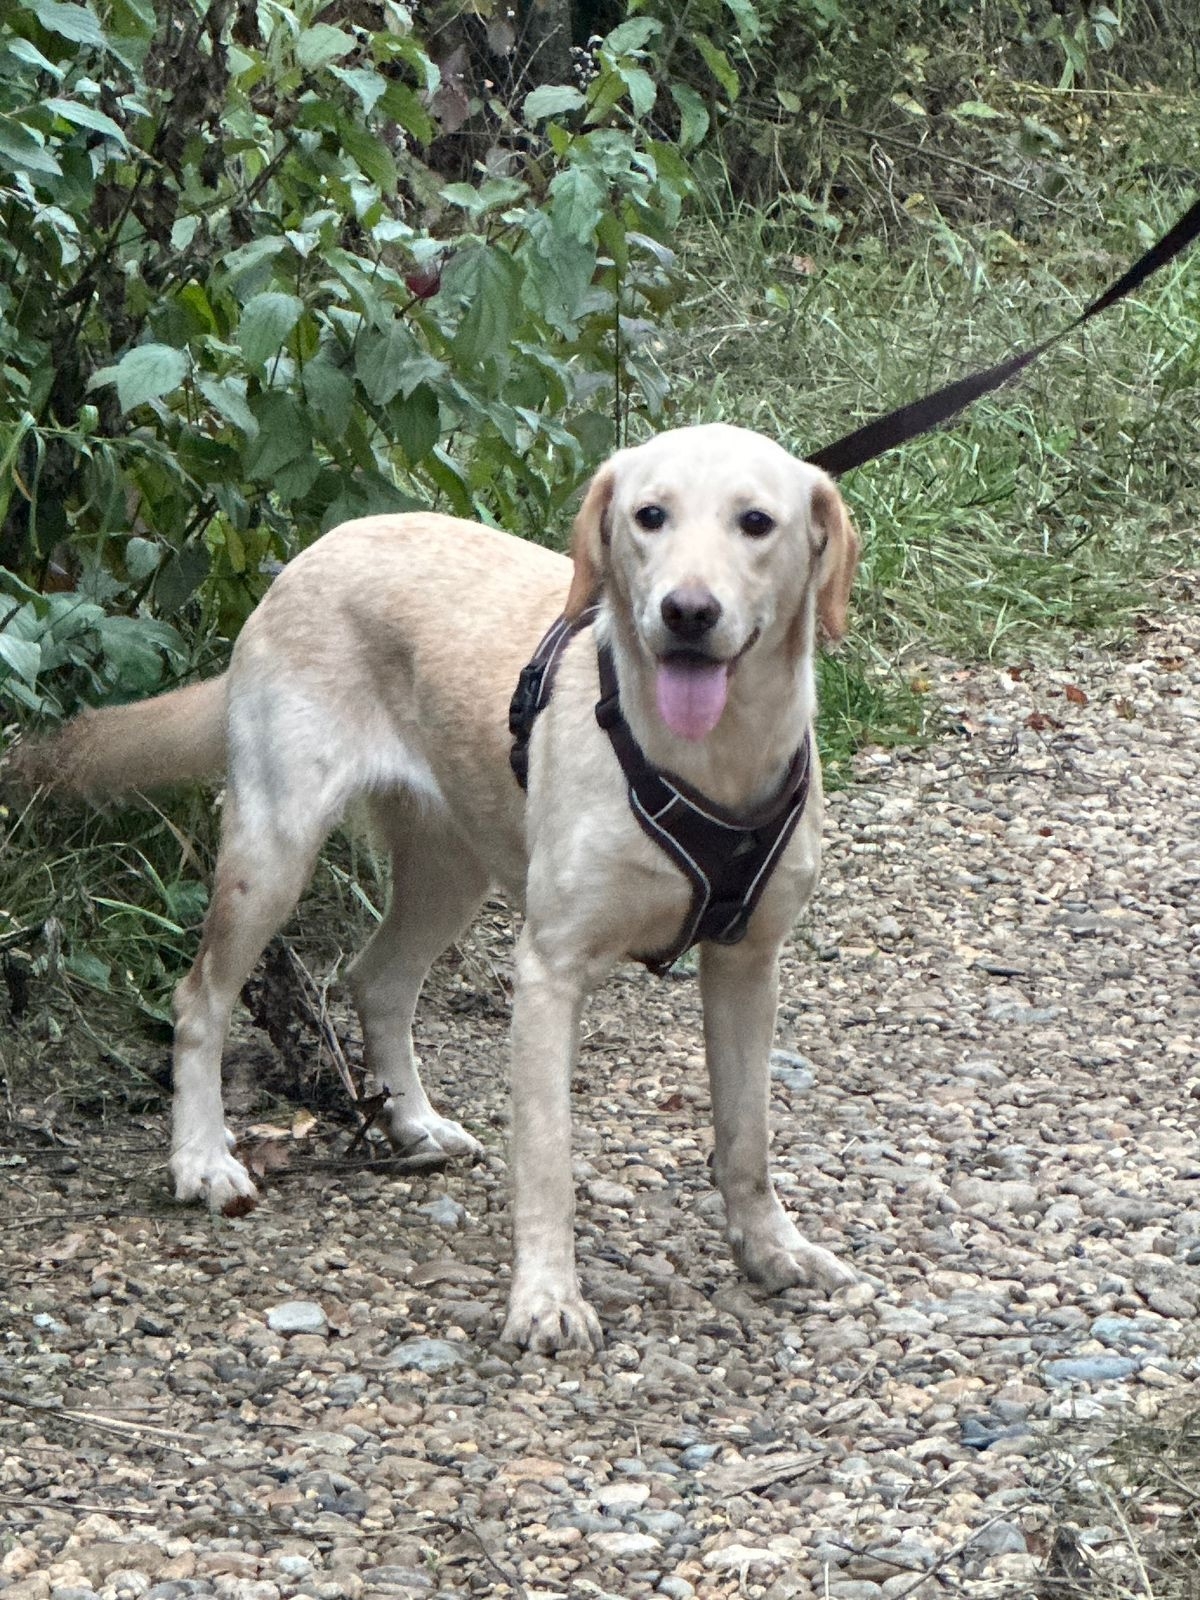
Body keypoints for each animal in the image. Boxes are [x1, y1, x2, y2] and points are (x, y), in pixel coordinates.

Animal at [14, 423, 859, 1351]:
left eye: (757, 522)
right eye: (650, 516)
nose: (687, 613)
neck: (712, 758)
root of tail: (309, 556)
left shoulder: (749, 965)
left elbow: (748, 1137)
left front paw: (772, 1246)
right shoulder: (550, 970)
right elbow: (548, 1158)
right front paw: (546, 1298)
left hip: (451, 870)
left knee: (377, 980)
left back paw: (412, 1121)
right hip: (272, 853)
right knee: (200, 997)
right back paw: (202, 1160)